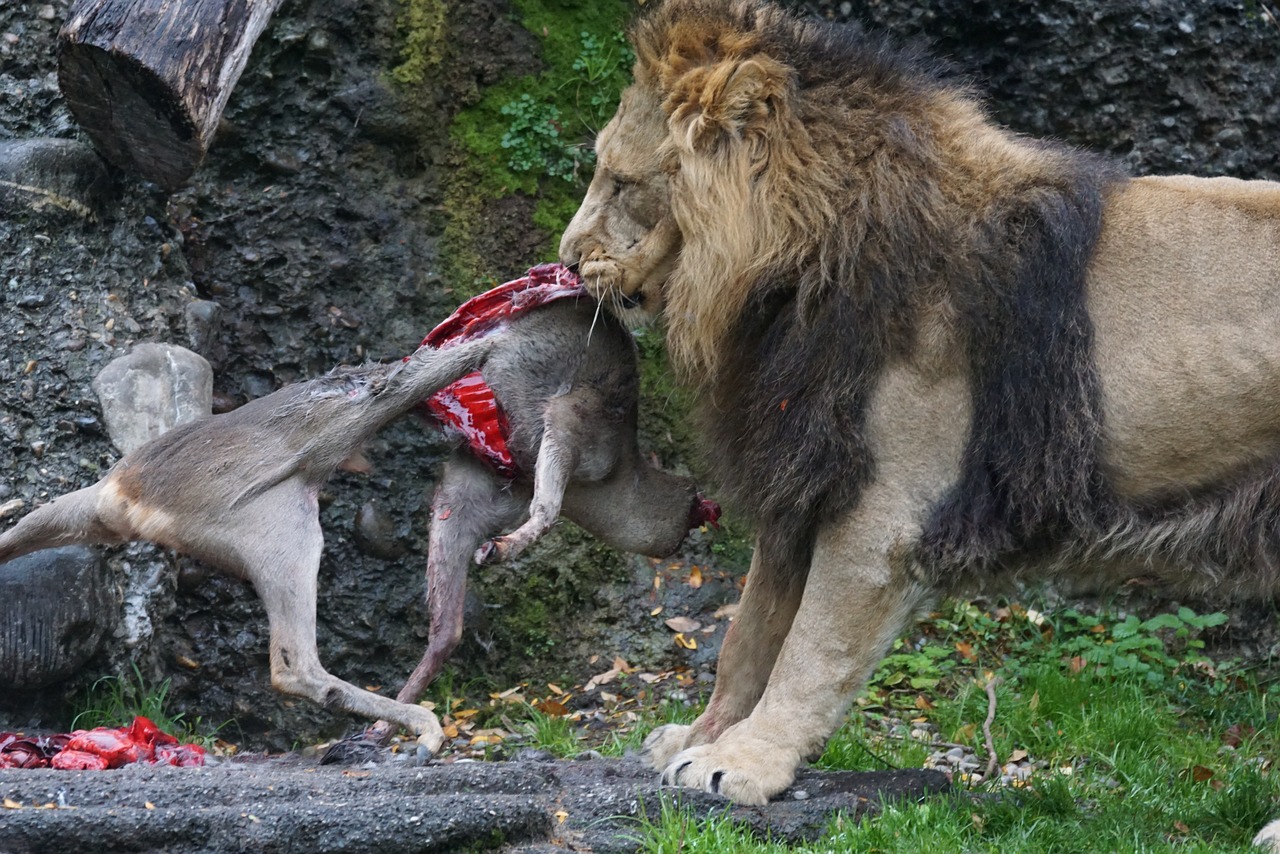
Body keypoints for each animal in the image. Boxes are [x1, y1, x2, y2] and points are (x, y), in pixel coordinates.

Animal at [558, 0, 1280, 809]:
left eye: (622, 182)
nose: (565, 257)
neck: (791, 272)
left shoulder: (881, 513)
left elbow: (808, 649)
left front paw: (742, 764)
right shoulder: (803, 479)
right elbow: (748, 637)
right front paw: (697, 737)